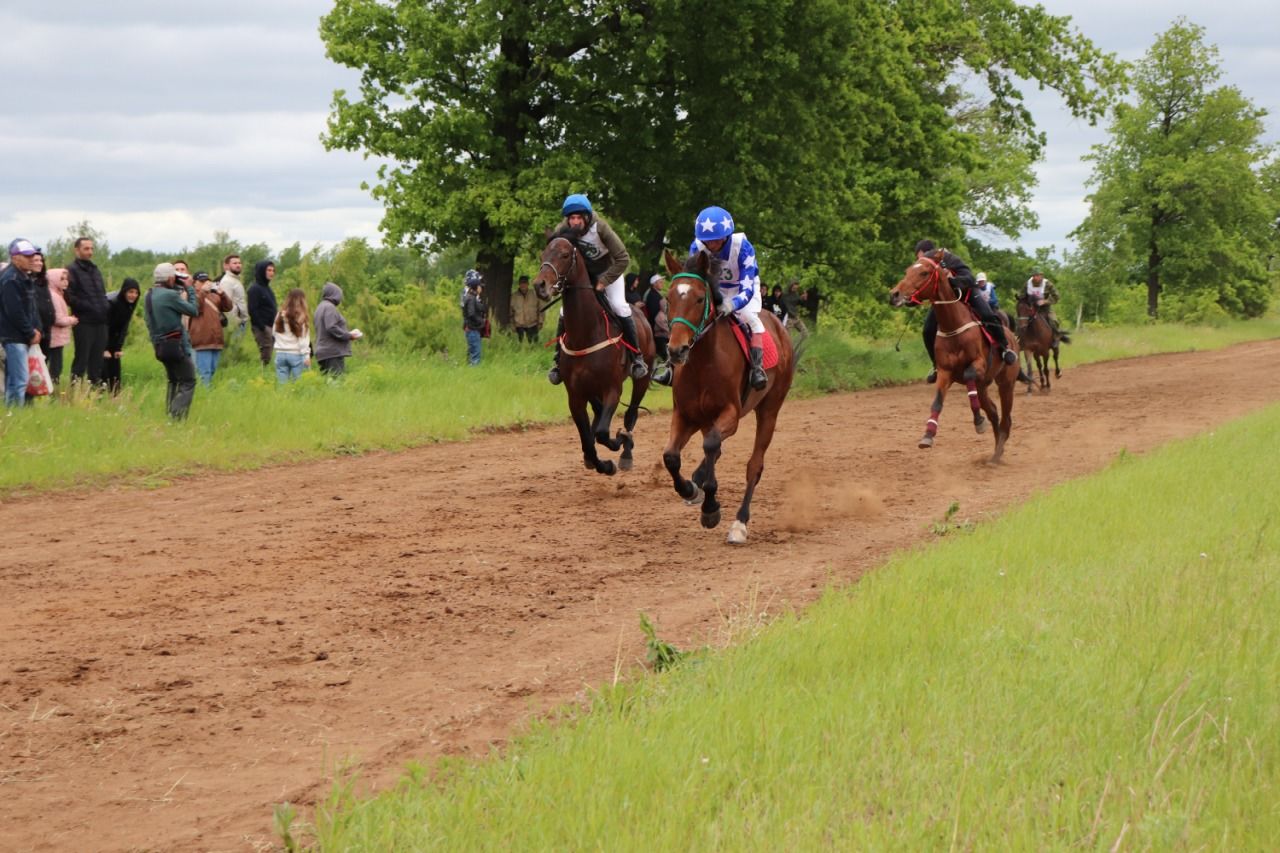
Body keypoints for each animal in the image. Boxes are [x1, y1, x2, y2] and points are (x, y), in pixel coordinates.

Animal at [532, 234, 655, 471]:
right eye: (543, 255)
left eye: (564, 255)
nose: (539, 285)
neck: (586, 333)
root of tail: (641, 313)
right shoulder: (575, 396)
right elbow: (588, 439)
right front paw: (601, 463)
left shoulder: (612, 389)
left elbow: (603, 433)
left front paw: (618, 442)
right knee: (598, 414)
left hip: (642, 378)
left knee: (631, 413)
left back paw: (626, 452)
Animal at [665, 249, 793, 545]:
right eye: (668, 298)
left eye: (699, 298)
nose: (676, 350)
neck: (702, 363)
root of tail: (780, 328)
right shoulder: (685, 414)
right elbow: (671, 457)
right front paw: (689, 489)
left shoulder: (730, 414)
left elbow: (712, 446)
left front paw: (711, 509)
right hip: (704, 419)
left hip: (770, 409)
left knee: (754, 465)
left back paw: (739, 523)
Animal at [890, 253, 1018, 461]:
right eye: (907, 271)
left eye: (924, 272)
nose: (894, 294)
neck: (953, 327)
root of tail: (1012, 336)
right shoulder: (945, 372)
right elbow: (937, 402)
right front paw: (928, 435)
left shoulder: (978, 365)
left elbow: (968, 375)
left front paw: (978, 421)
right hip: (983, 386)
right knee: (993, 412)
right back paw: (996, 449)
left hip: (1006, 382)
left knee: (1006, 418)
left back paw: (997, 454)